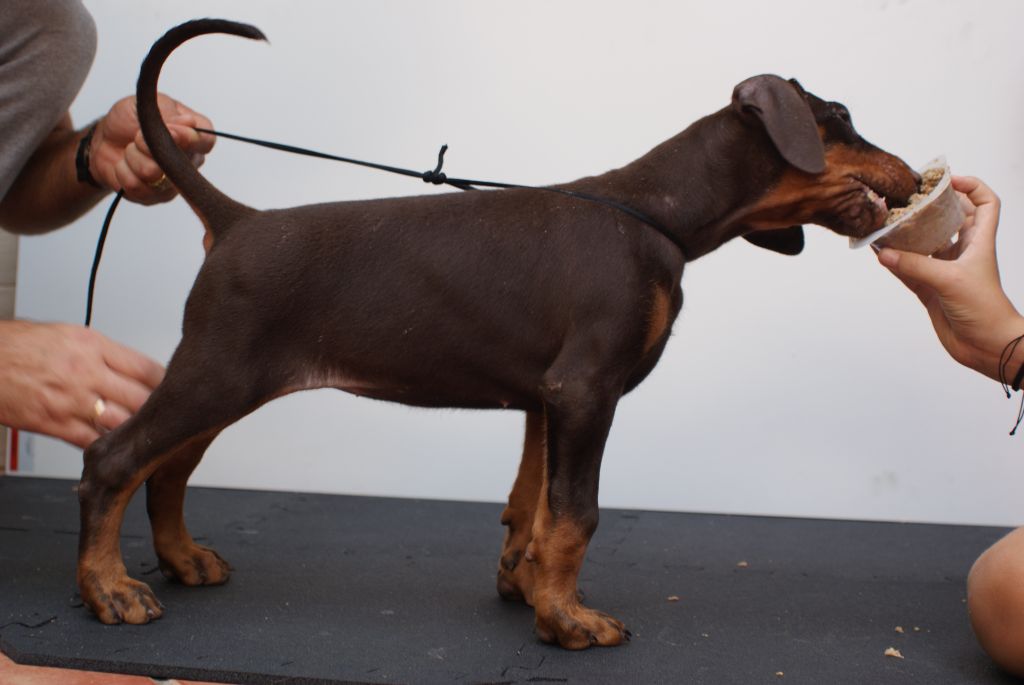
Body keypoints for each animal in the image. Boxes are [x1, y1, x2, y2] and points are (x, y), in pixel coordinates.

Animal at [77, 19, 918, 649]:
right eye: (842, 118)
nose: (914, 174)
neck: (656, 214)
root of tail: (238, 220)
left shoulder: (545, 399)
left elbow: (533, 507)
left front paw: (526, 585)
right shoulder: (586, 388)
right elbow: (575, 512)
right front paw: (569, 619)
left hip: (225, 380)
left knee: (166, 470)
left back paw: (183, 560)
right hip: (217, 371)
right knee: (113, 457)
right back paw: (109, 587)